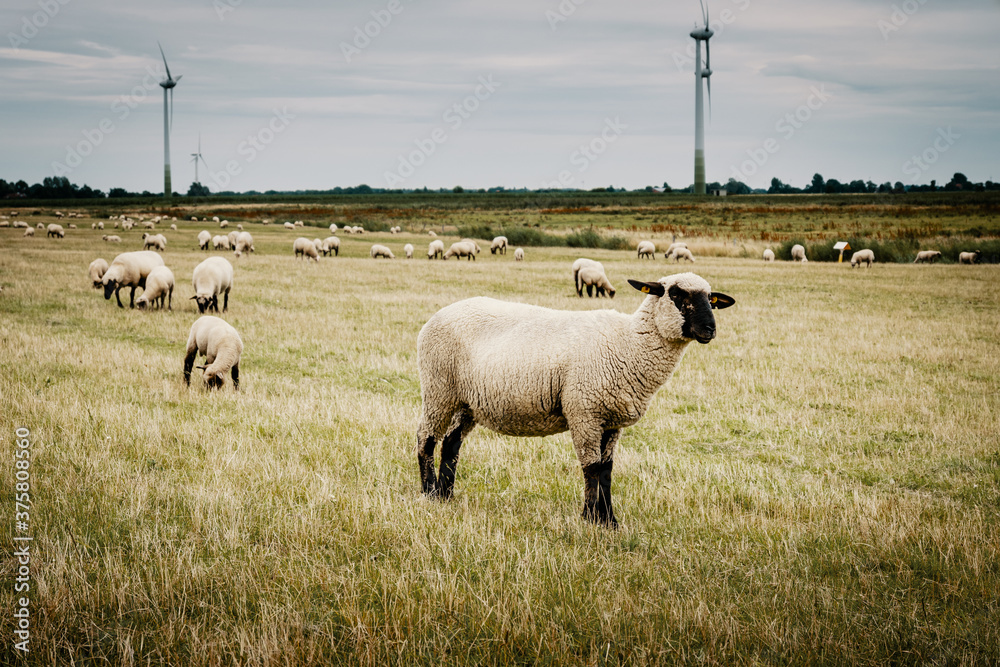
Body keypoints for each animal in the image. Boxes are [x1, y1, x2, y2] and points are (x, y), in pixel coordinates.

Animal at [415, 272, 736, 527]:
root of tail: (437, 315)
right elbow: (591, 468)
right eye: (676, 294)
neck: (629, 343)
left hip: (467, 402)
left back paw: (446, 495)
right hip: (438, 388)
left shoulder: (611, 421)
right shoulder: (585, 413)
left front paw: (609, 521)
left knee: (451, 443)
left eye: (711, 299)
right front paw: (590, 517)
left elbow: (607, 470)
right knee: (426, 438)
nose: (710, 329)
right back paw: (429, 493)